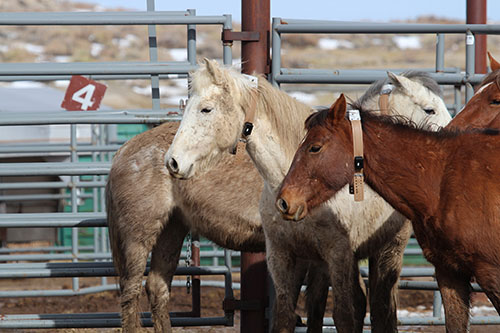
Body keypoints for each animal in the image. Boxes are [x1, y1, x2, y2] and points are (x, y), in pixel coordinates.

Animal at [166, 59, 452, 332]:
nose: (173, 161)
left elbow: (344, 316)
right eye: (431, 109)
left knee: (381, 310)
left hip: (388, 250)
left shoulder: (338, 255)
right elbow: (285, 316)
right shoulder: (282, 255)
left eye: (206, 109)